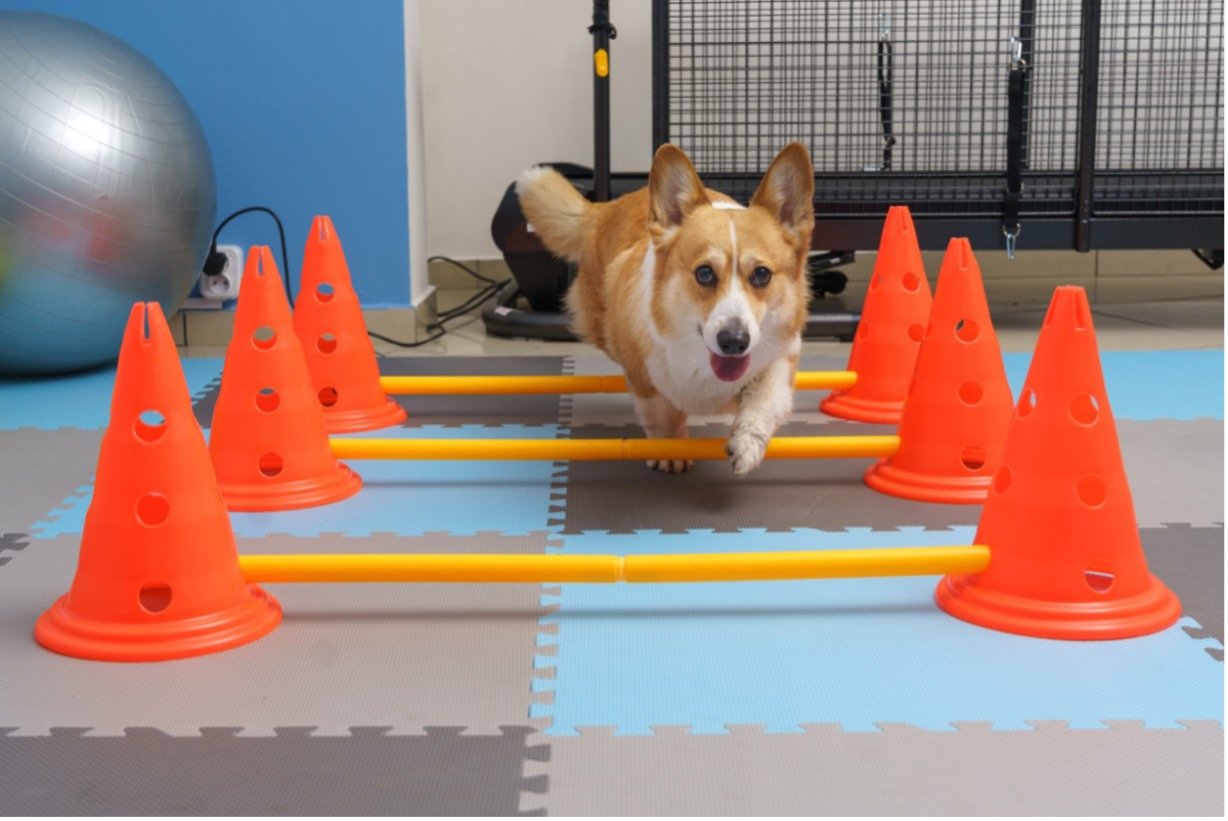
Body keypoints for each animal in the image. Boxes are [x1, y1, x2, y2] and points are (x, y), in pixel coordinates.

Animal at [518, 141, 815, 473]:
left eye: (762, 274)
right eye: (704, 273)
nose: (734, 342)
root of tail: (604, 209)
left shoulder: (781, 356)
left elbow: (765, 398)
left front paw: (747, 445)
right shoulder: (645, 379)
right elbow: (663, 415)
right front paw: (671, 451)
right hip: (599, 326)